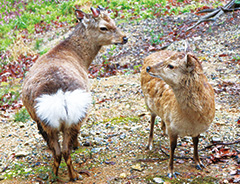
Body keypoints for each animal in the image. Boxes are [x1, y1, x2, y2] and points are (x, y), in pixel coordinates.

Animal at [21, 6, 128, 181]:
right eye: (103, 27)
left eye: (113, 21)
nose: (124, 38)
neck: (81, 59)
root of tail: (60, 96)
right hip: (78, 113)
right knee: (65, 147)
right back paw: (74, 174)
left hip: (45, 119)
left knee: (59, 151)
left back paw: (56, 176)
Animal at [140, 42, 215, 178]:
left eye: (171, 65)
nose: (149, 68)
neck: (191, 120)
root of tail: (149, 56)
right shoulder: (173, 126)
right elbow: (173, 146)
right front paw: (170, 171)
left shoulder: (198, 129)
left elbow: (196, 142)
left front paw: (199, 162)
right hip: (147, 101)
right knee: (152, 117)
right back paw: (149, 144)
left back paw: (163, 129)